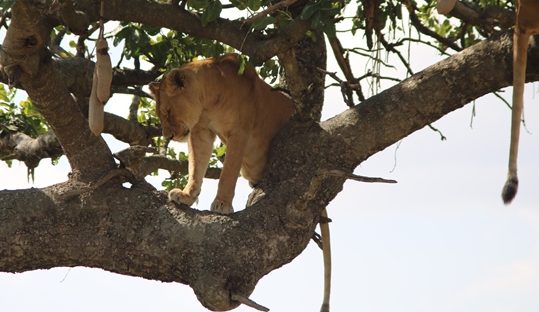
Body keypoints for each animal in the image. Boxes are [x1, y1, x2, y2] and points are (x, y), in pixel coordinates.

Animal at [149, 53, 296, 214]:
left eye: (168, 112)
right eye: (160, 115)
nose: (167, 136)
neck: (208, 103)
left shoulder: (239, 132)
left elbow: (228, 173)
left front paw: (222, 204)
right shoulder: (200, 132)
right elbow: (195, 168)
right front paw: (186, 195)